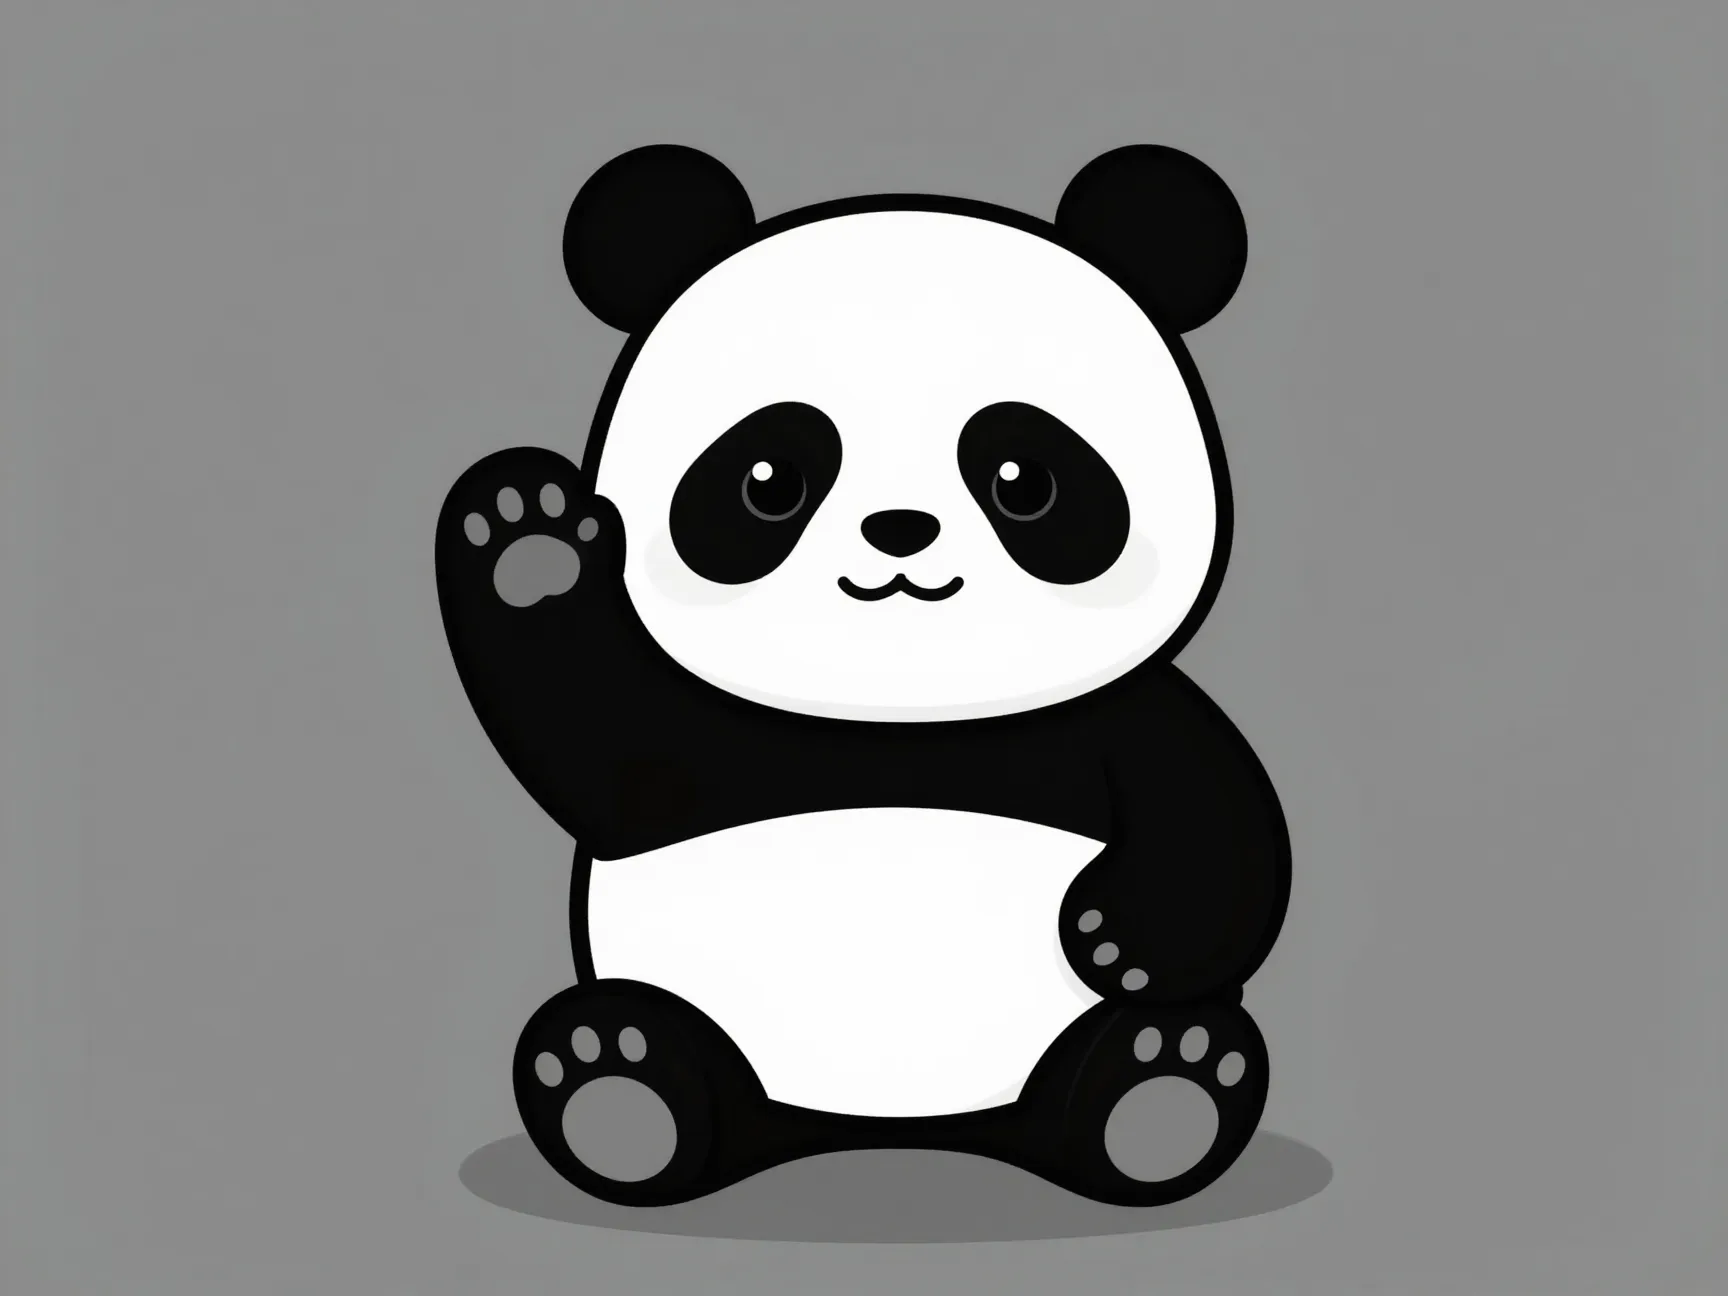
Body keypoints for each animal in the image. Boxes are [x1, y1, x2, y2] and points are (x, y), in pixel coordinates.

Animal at [435, 143, 1291, 1209]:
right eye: (768, 480)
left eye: (1024, 478)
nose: (899, 531)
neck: (899, 715)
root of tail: (888, 1130)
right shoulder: (714, 734)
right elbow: (610, 759)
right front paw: (532, 542)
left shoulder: (1121, 720)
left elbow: (1218, 821)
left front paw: (1117, 938)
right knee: (688, 1080)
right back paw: (621, 1082)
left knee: (1095, 1087)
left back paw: (1160, 1081)